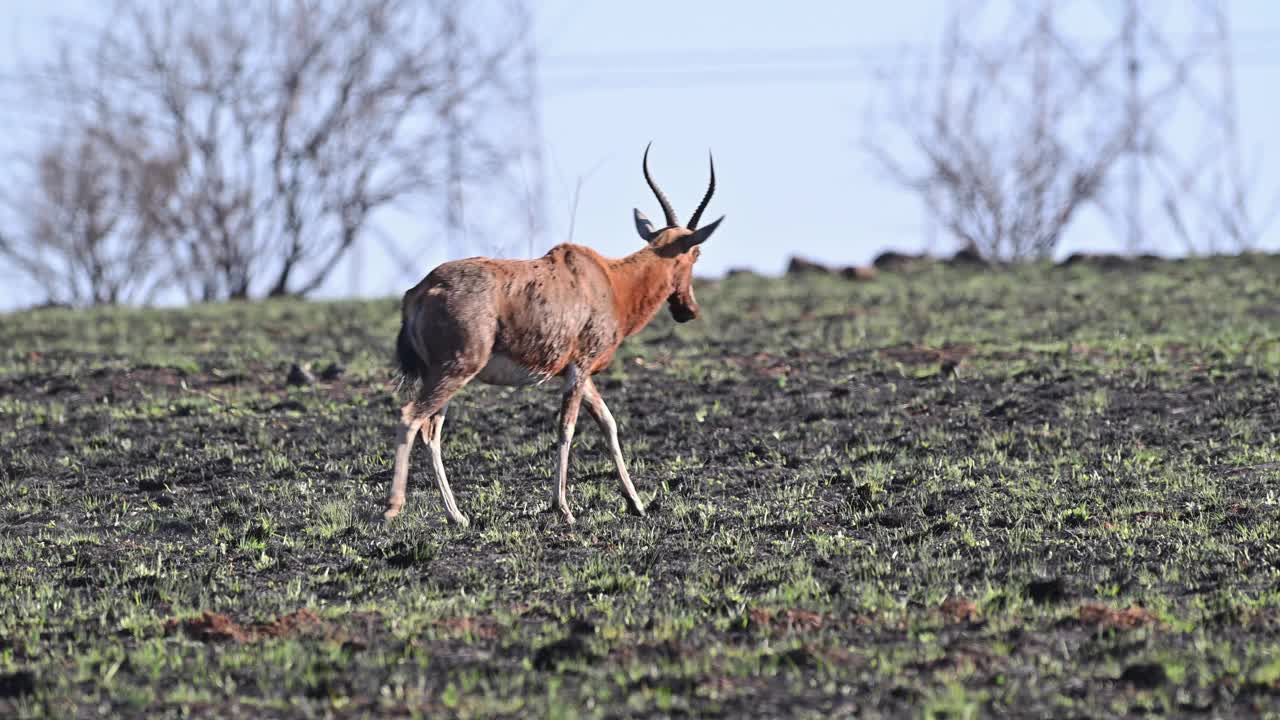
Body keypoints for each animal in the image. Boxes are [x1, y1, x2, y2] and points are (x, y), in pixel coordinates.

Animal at [381, 146, 721, 525]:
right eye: (696, 252)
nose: (687, 309)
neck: (608, 279)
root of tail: (422, 290)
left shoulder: (579, 373)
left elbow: (608, 423)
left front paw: (636, 503)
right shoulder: (580, 368)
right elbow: (566, 429)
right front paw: (564, 509)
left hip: (444, 374)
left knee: (431, 432)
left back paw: (458, 516)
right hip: (454, 371)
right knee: (411, 417)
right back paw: (393, 509)